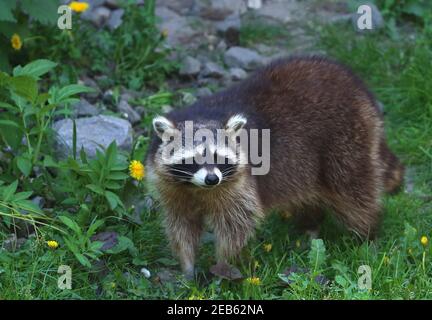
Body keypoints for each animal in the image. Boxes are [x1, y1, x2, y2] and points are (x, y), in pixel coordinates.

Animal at [146, 55, 404, 278]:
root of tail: (360, 89)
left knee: (354, 194)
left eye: (219, 157)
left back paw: (367, 235)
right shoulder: (172, 189)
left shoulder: (242, 185)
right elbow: (181, 226)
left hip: (346, 142)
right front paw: (187, 266)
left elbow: (235, 226)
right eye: (193, 159)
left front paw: (222, 264)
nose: (212, 179)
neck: (197, 188)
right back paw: (310, 226)